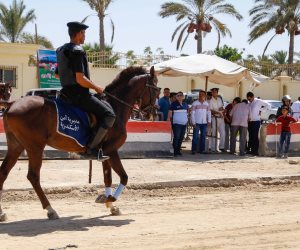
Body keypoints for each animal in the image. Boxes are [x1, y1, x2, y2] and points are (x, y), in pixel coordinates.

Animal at [0, 66, 158, 221]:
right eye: (157, 89)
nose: (152, 114)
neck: (115, 106)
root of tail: (13, 104)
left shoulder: (105, 153)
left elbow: (108, 177)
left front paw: (110, 204)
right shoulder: (112, 150)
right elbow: (124, 177)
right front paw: (110, 199)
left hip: (16, 146)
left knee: (3, 172)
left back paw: (2, 213)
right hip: (35, 147)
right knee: (33, 176)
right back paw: (51, 210)